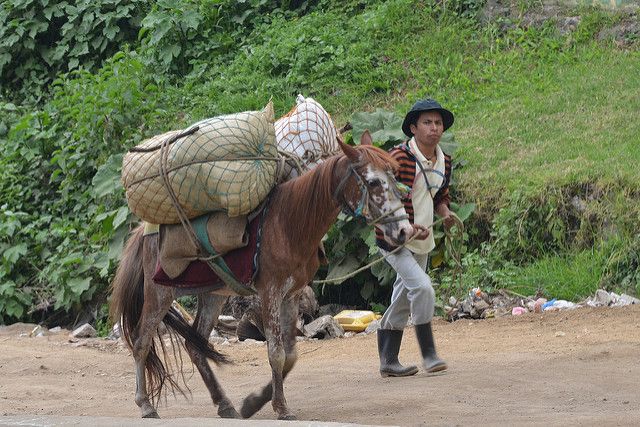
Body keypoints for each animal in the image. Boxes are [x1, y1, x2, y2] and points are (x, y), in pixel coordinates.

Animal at [109, 133, 416, 422]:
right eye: (373, 183)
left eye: (395, 176)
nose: (404, 231)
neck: (291, 223)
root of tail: (143, 232)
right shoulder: (270, 293)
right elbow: (276, 353)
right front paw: (281, 407)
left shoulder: (292, 295)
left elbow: (290, 355)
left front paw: (255, 401)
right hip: (159, 293)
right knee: (141, 342)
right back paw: (146, 405)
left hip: (212, 295)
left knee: (194, 346)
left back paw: (225, 405)